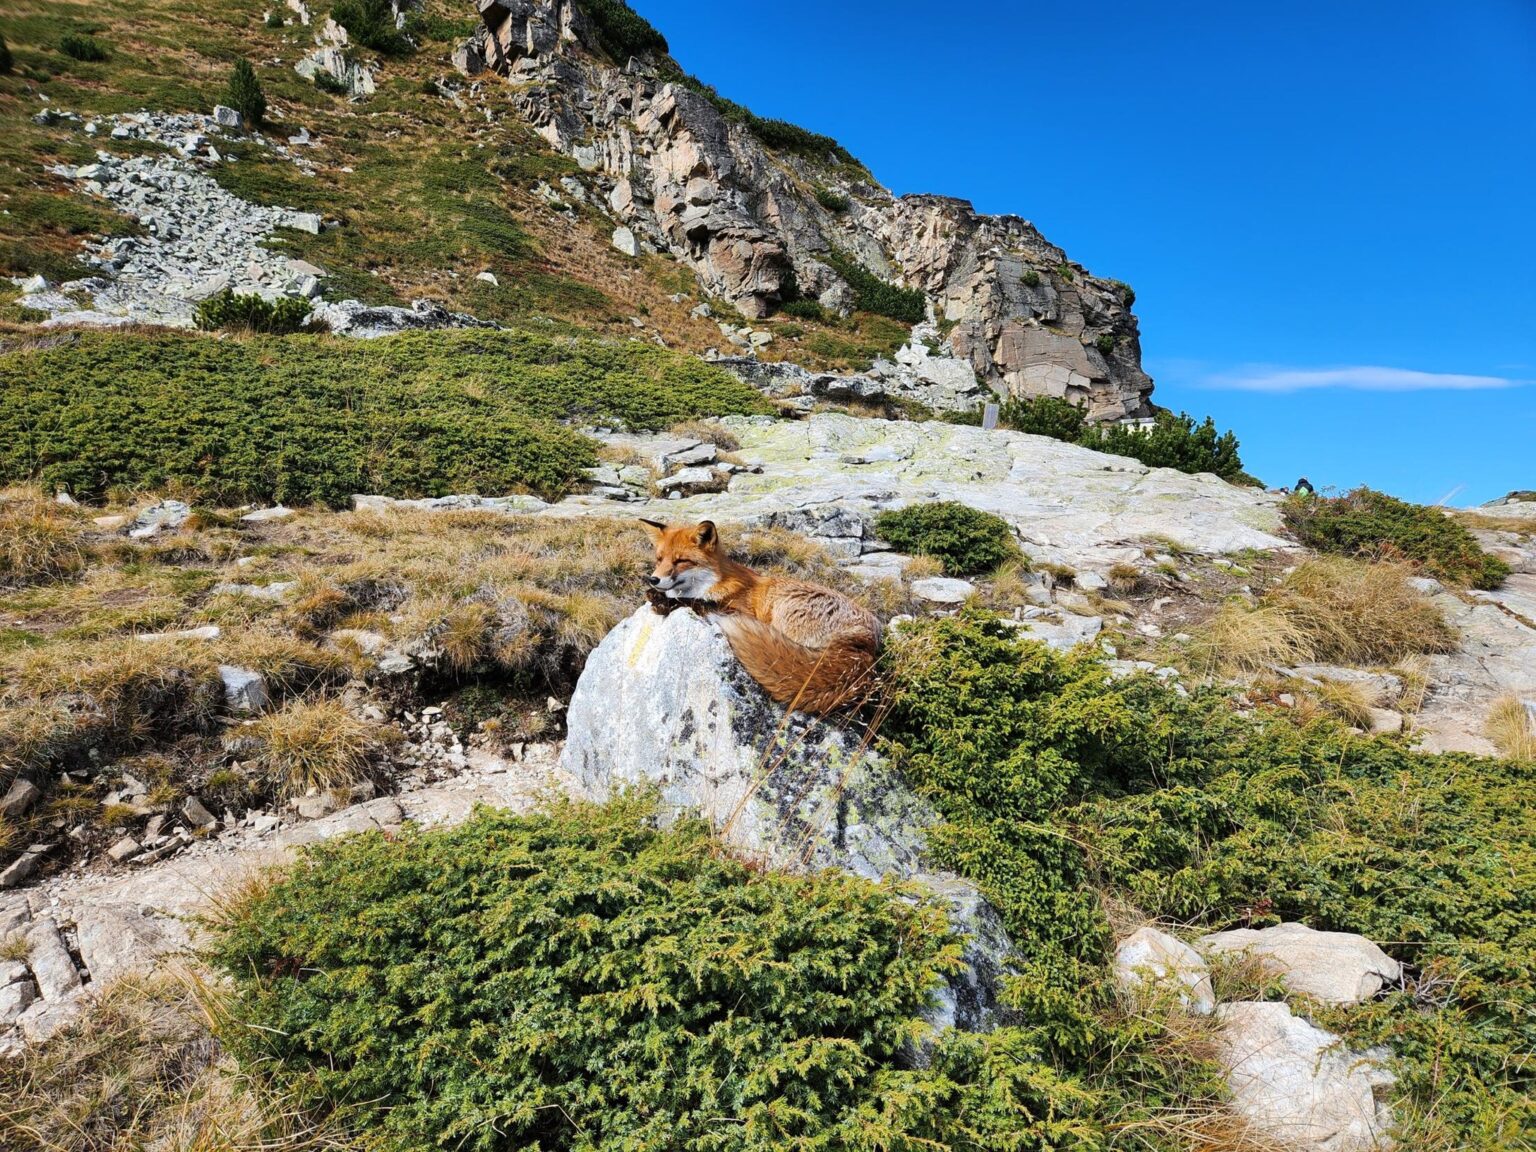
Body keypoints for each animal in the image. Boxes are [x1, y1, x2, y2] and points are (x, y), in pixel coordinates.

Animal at [640, 518, 882, 715]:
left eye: (681, 561)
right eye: (659, 559)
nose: (653, 580)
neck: (713, 583)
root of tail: (865, 646)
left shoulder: (738, 610)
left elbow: (696, 602)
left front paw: (665, 602)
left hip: (783, 610)